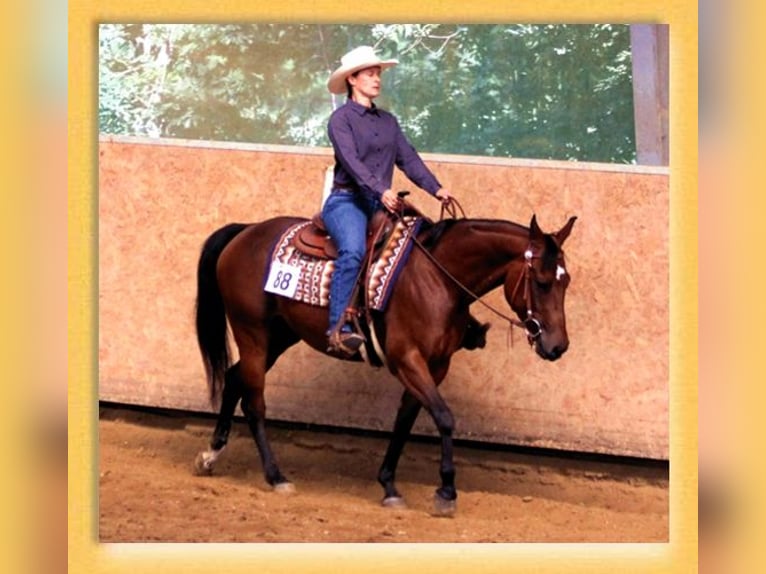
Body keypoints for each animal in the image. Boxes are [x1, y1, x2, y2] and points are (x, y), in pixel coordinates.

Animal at [193, 207, 577, 515]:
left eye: (566, 281)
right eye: (542, 282)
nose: (557, 346)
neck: (437, 278)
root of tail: (246, 231)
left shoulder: (435, 366)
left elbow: (405, 420)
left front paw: (389, 485)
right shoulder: (407, 360)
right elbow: (444, 417)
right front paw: (446, 491)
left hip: (281, 335)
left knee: (233, 378)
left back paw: (211, 455)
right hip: (253, 333)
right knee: (254, 402)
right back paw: (275, 476)